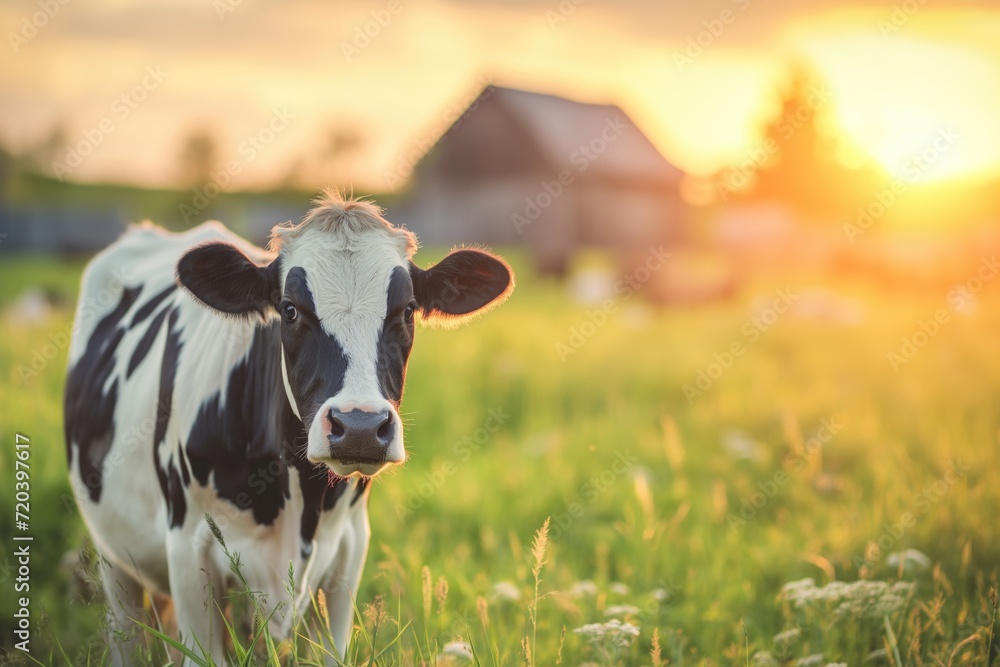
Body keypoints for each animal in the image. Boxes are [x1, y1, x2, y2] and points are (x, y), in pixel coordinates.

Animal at [64, 192, 516, 664]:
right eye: (291, 310)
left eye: (407, 311)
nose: (359, 425)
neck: (302, 502)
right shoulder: (188, 549)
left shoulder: (348, 552)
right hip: (115, 558)